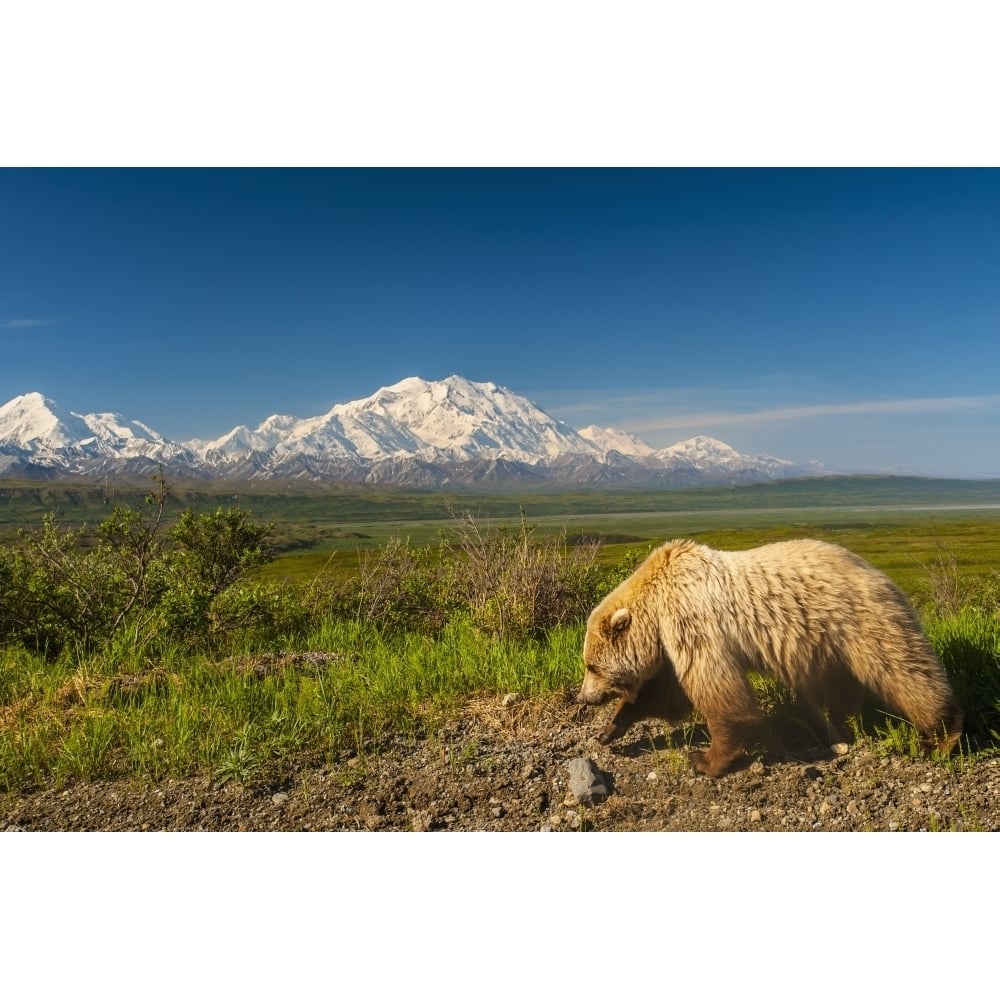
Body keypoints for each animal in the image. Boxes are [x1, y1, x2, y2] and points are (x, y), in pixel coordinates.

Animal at [580, 540, 960, 772]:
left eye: (591, 665)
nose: (584, 697)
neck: (656, 604)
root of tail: (879, 572)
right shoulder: (675, 640)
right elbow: (668, 695)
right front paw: (611, 729)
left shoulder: (692, 621)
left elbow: (716, 690)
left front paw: (705, 759)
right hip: (830, 647)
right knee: (841, 690)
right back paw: (837, 729)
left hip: (860, 621)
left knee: (905, 670)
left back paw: (941, 736)